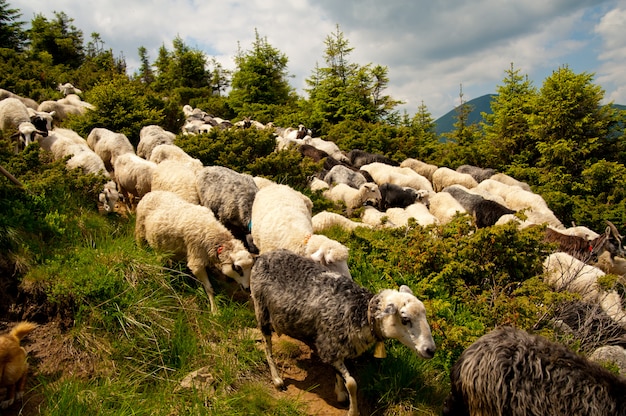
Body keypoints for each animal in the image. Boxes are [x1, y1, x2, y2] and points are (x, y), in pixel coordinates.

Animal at [249, 249, 434, 416]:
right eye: (405, 319)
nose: (430, 350)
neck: (359, 311)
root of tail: (264, 256)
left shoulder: (338, 348)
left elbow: (340, 375)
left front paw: (340, 393)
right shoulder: (328, 347)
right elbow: (352, 383)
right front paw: (353, 410)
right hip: (261, 310)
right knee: (267, 347)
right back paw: (277, 380)